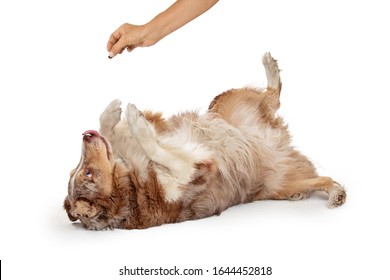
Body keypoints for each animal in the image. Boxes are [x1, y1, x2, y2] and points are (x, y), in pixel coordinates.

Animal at [64, 52, 348, 230]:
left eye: (81, 170)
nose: (85, 136)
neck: (131, 187)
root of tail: (278, 146)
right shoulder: (198, 171)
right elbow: (156, 148)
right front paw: (135, 121)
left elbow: (115, 133)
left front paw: (114, 113)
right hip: (282, 186)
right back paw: (336, 194)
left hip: (222, 106)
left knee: (271, 97)